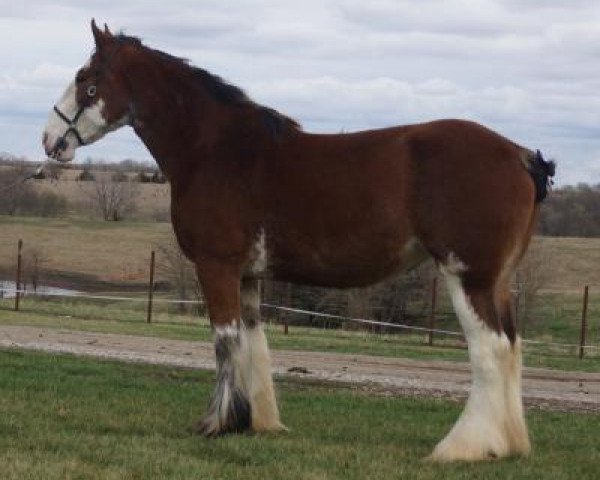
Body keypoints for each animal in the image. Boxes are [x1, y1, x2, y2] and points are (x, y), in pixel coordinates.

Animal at [42, 20, 556, 464]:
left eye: (86, 79)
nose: (50, 140)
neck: (215, 151)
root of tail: (519, 154)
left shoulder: (216, 266)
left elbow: (224, 340)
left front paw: (216, 423)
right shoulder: (248, 275)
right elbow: (254, 343)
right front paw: (256, 422)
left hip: (468, 276)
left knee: (490, 350)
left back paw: (462, 447)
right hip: (498, 281)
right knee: (512, 348)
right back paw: (508, 444)